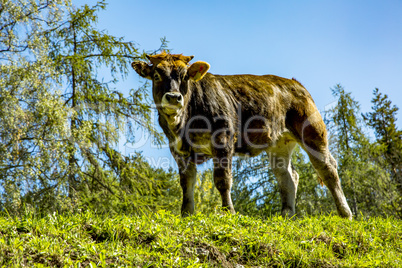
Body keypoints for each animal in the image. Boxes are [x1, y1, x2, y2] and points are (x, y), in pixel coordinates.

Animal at [131, 52, 352, 220]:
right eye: (157, 75)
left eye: (185, 76)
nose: (174, 97)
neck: (184, 123)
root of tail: (293, 83)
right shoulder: (178, 149)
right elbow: (187, 183)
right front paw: (186, 214)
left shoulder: (223, 139)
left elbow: (222, 179)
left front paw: (228, 212)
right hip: (280, 143)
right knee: (288, 176)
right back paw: (286, 215)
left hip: (313, 132)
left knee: (328, 168)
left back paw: (345, 213)